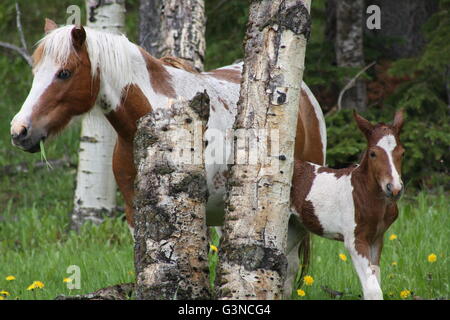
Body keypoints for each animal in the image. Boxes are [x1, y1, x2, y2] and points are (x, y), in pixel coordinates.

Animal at [10, 21, 326, 292]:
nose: (19, 130)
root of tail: (305, 97)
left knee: (287, 267)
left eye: (64, 73)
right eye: (36, 73)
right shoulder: (135, 212)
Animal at [290, 110, 406, 300]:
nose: (394, 188)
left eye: (402, 153)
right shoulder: (355, 241)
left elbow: (375, 280)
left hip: (294, 228)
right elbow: (373, 289)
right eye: (373, 153)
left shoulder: (376, 239)